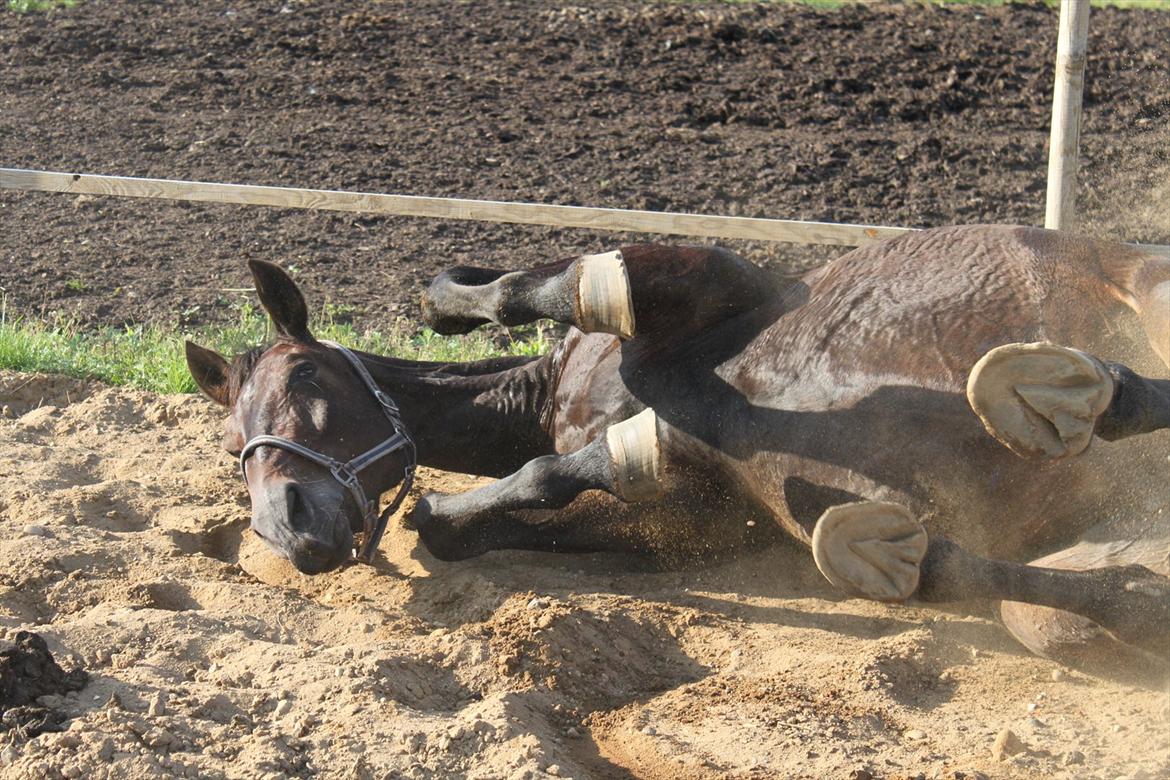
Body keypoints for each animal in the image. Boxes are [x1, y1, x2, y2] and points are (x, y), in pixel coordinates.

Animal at [184, 224, 1170, 673]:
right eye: (235, 443)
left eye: (307, 384)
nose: (290, 524)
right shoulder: (703, 512)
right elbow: (506, 506)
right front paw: (447, 504)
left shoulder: (703, 276)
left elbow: (542, 288)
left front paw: (451, 300)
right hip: (1079, 573)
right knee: (1085, 599)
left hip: (1151, 288)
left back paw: (1062, 391)